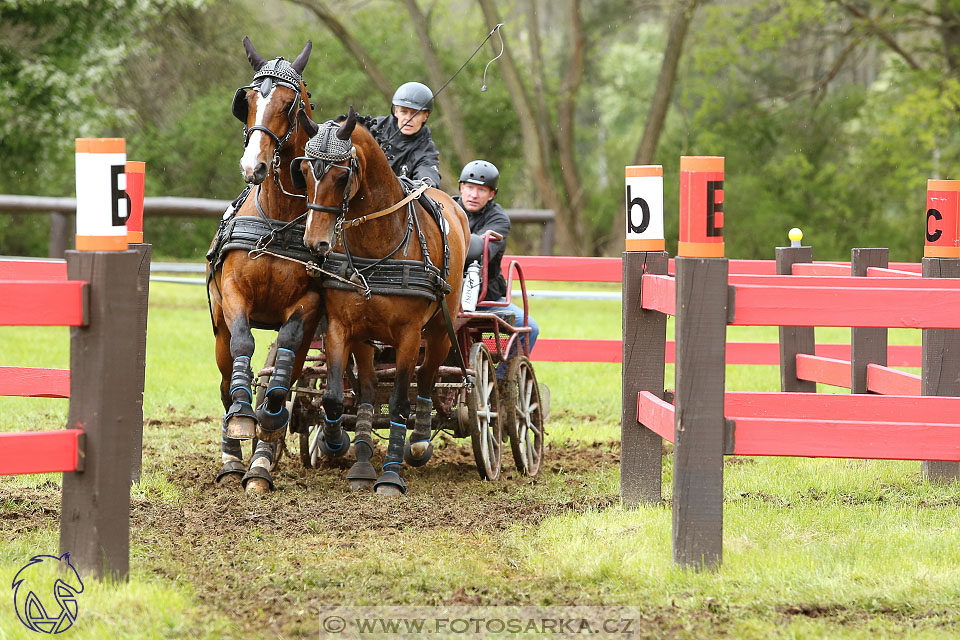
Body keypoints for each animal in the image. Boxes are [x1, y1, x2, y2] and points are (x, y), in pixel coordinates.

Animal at [294, 107, 470, 496]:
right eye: (304, 171)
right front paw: (338, 444)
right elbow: (339, 396)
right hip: (368, 339)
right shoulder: (343, 328)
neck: (377, 246)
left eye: (342, 175)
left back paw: (418, 443)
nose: (315, 243)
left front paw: (390, 474)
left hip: (440, 329)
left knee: (428, 377)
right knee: (370, 390)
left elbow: (400, 401)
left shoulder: (408, 335)